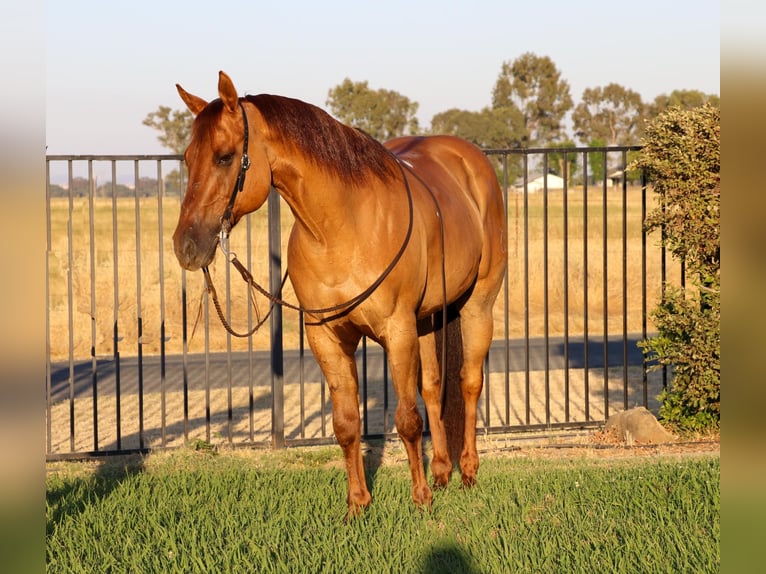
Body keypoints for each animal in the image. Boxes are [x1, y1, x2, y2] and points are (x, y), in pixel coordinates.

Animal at [173, 71, 507, 517]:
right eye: (188, 157)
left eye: (225, 157)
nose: (186, 246)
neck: (339, 230)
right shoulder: (328, 337)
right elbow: (347, 424)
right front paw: (358, 506)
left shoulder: (397, 331)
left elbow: (406, 420)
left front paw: (420, 500)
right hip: (427, 319)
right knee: (434, 387)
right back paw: (441, 471)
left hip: (477, 306)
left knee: (469, 382)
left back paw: (467, 470)